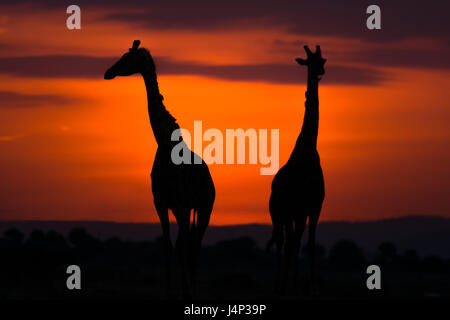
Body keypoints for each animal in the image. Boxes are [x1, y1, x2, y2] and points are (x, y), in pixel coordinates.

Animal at [103, 40, 214, 300]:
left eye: (126, 58)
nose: (107, 73)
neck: (164, 141)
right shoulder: (161, 203)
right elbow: (167, 246)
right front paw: (169, 291)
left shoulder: (180, 205)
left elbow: (181, 248)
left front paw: (185, 291)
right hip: (188, 209)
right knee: (188, 245)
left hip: (204, 208)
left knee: (194, 246)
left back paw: (192, 291)